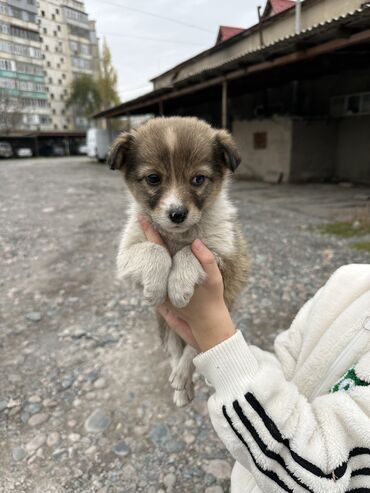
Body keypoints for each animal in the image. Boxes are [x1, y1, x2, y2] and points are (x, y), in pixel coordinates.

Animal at [108, 117, 250, 406]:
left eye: (198, 179)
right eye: (153, 178)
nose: (177, 214)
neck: (177, 236)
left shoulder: (227, 252)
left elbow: (189, 252)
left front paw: (177, 286)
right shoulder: (125, 255)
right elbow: (155, 250)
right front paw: (155, 287)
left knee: (194, 352)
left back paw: (183, 377)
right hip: (165, 326)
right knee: (176, 352)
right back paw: (180, 387)